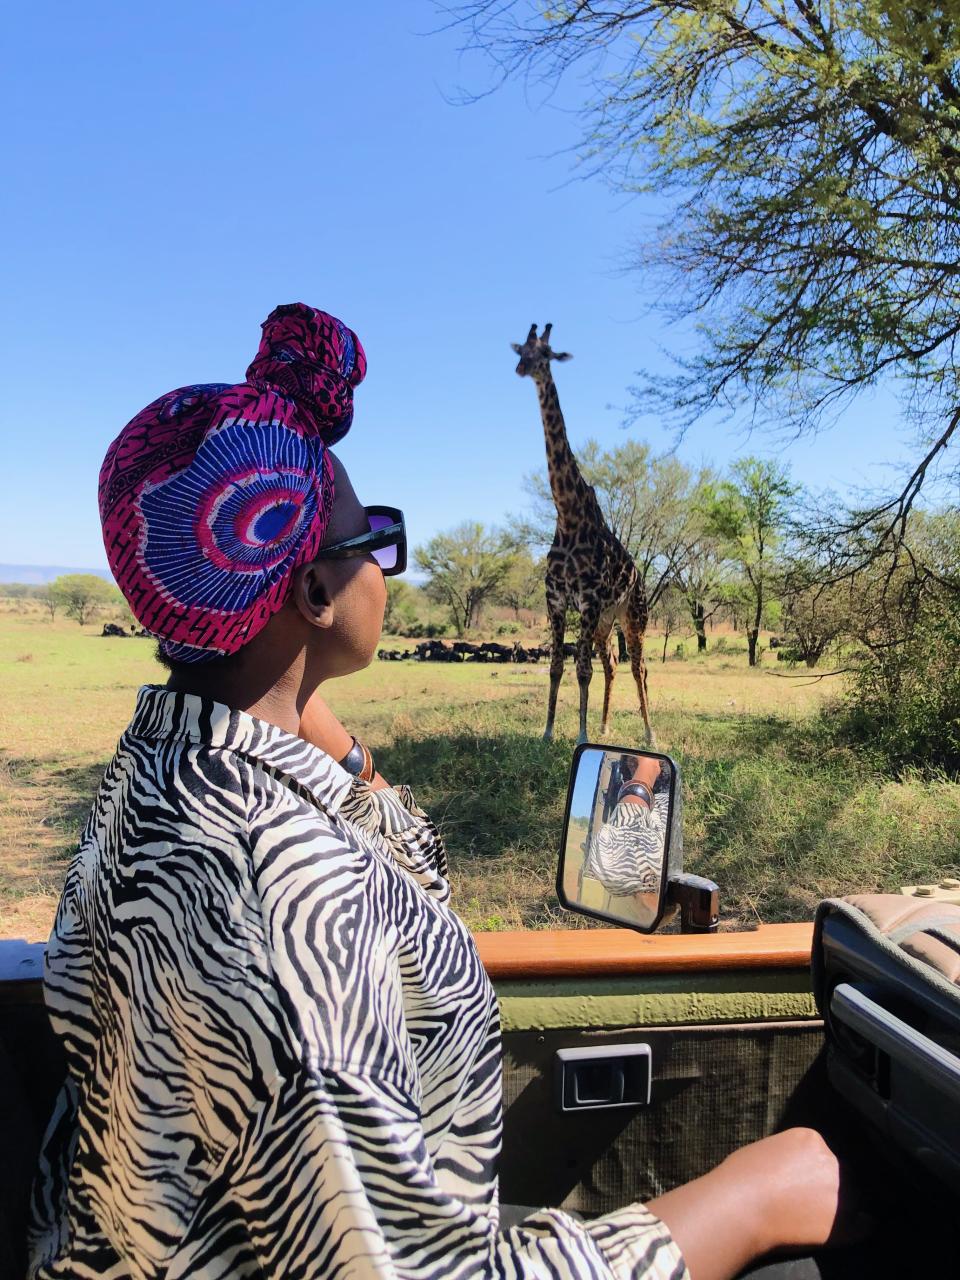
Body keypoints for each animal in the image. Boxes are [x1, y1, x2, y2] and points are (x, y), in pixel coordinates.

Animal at [514, 322, 660, 747]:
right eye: (522, 349)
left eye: (546, 354)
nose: (522, 368)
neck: (567, 515)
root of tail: (639, 574)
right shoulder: (557, 601)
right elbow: (557, 666)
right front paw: (548, 732)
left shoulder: (589, 601)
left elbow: (581, 669)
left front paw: (579, 735)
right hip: (605, 623)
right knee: (610, 662)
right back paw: (605, 727)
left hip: (633, 614)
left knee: (638, 667)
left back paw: (649, 735)